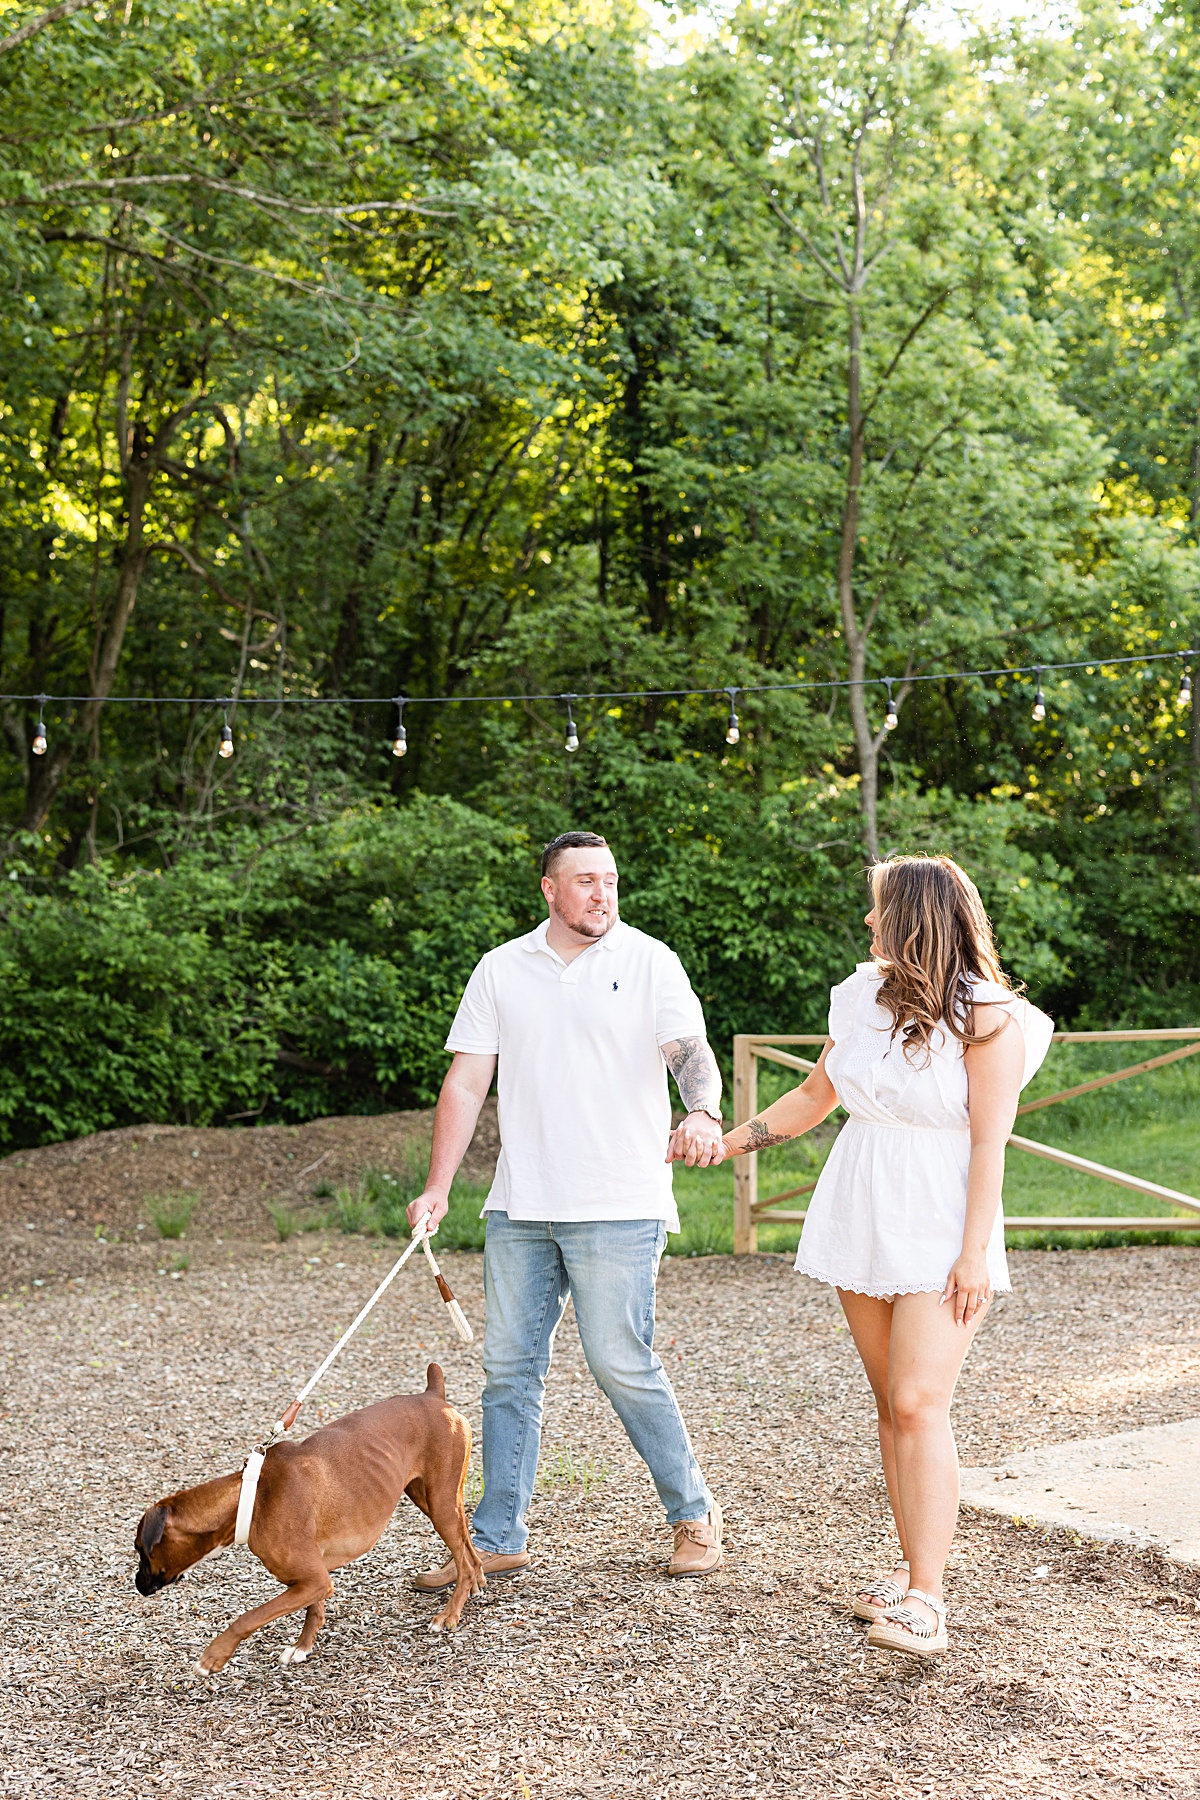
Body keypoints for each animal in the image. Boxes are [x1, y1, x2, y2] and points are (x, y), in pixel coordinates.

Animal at [132, 1360, 482, 1670]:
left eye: (140, 1549)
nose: (137, 1584)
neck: (252, 1498)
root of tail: (433, 1395)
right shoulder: (314, 1578)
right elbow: (313, 1611)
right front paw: (303, 1647)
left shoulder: (312, 1580)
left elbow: (249, 1617)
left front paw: (213, 1657)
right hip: (434, 1500)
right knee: (468, 1545)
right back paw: (476, 1583)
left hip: (440, 1504)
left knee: (463, 1560)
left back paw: (449, 1615)